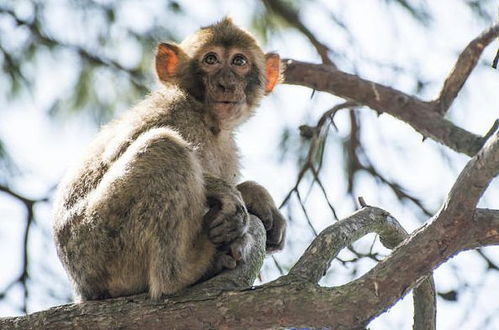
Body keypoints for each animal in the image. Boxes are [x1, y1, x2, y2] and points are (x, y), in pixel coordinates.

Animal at [52, 18, 288, 302]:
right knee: (165, 147)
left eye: (239, 61)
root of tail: (83, 289)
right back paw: (184, 274)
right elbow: (116, 153)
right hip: (99, 244)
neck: (206, 118)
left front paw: (257, 197)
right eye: (211, 59)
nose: (227, 84)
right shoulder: (171, 109)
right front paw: (227, 194)